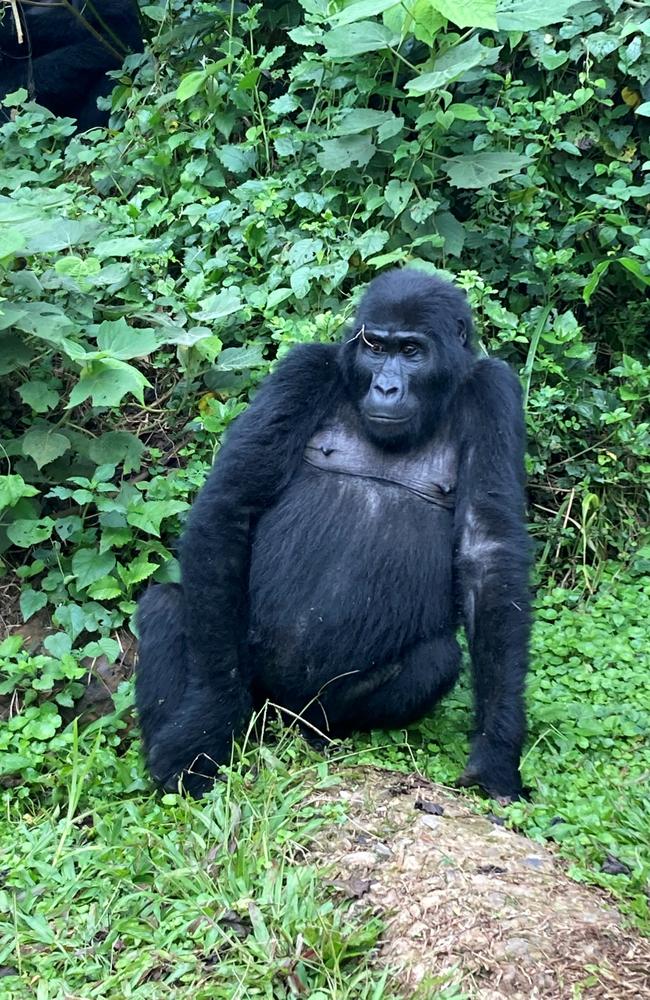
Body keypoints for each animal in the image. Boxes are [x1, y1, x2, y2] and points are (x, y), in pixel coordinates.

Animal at [134, 270, 528, 800]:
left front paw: (497, 751)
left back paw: (320, 736)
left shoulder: (495, 394)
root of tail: (278, 712)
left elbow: (489, 553)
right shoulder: (305, 370)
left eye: (411, 351)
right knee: (170, 605)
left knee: (436, 660)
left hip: (313, 708)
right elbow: (231, 505)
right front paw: (208, 721)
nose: (386, 386)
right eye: (376, 347)